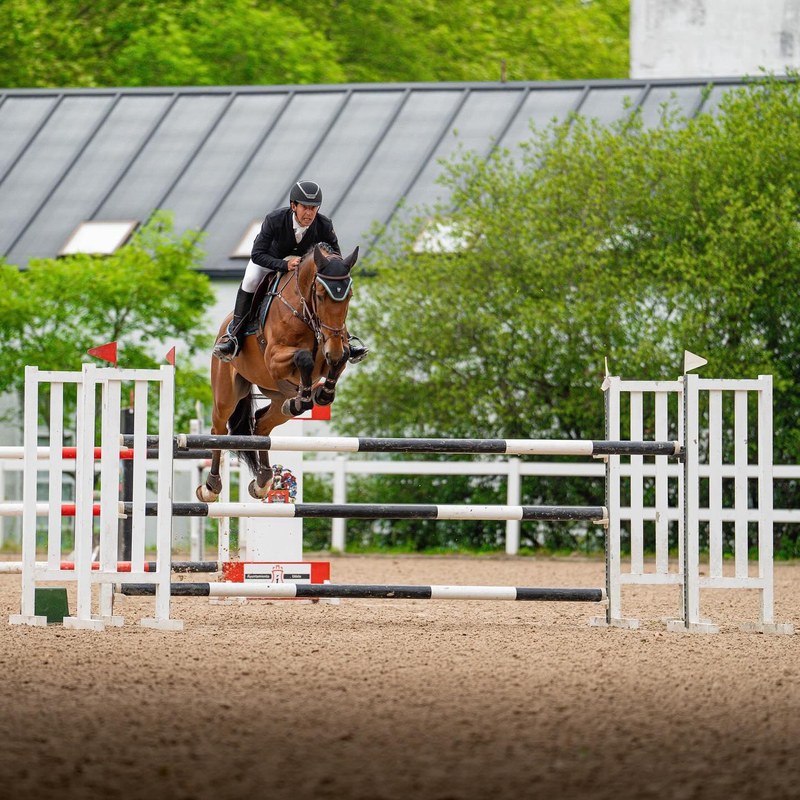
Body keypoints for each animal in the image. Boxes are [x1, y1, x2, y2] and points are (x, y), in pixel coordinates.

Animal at [195, 242, 358, 500]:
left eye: (349, 296)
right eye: (320, 296)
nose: (332, 348)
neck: (305, 312)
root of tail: (224, 326)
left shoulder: (333, 349)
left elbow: (340, 358)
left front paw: (322, 394)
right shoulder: (274, 358)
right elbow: (303, 357)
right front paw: (307, 397)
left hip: (278, 397)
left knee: (262, 424)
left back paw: (263, 480)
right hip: (226, 395)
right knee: (218, 429)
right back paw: (211, 486)